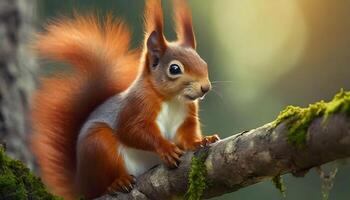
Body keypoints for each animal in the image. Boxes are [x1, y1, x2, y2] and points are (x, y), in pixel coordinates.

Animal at [31, 0, 220, 198]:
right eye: (174, 69)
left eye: (203, 63)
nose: (205, 87)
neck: (172, 100)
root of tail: (80, 184)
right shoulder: (136, 106)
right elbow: (131, 130)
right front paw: (165, 148)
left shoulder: (187, 116)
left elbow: (187, 134)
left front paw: (201, 141)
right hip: (97, 145)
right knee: (101, 182)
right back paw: (116, 183)